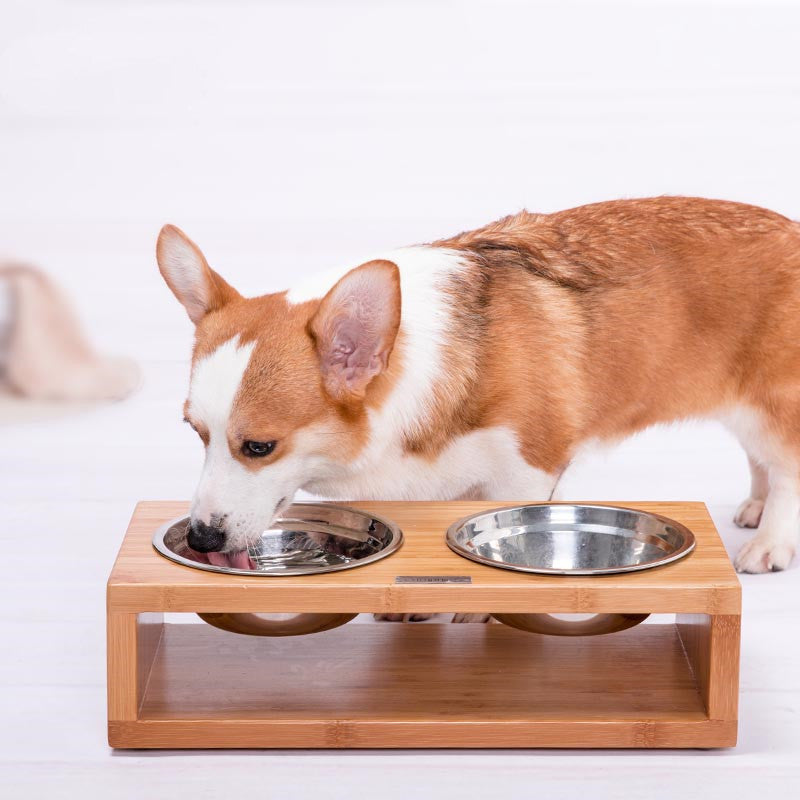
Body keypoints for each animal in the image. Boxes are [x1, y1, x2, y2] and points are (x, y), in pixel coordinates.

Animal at [156, 195, 800, 580]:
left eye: (259, 447)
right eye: (197, 433)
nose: (203, 535)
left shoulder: (528, 473)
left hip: (773, 406)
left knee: (787, 466)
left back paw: (770, 541)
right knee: (759, 459)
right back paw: (754, 506)